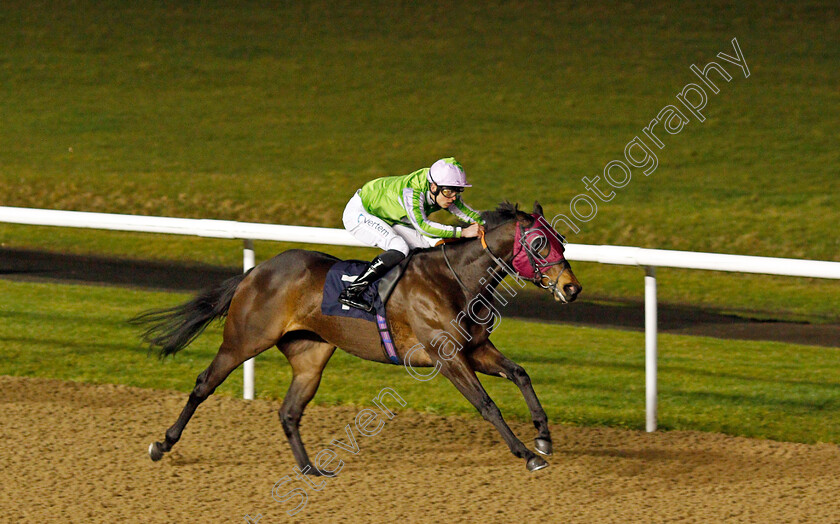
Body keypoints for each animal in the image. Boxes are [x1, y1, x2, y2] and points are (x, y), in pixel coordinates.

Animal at [136, 201, 584, 470]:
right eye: (540, 243)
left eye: (561, 240)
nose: (572, 288)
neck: (455, 280)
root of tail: (256, 271)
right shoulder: (447, 357)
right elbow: (487, 405)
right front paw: (526, 454)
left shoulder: (476, 348)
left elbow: (521, 373)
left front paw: (543, 437)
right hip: (243, 341)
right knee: (203, 384)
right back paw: (162, 444)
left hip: (311, 355)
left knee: (289, 412)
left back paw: (310, 469)